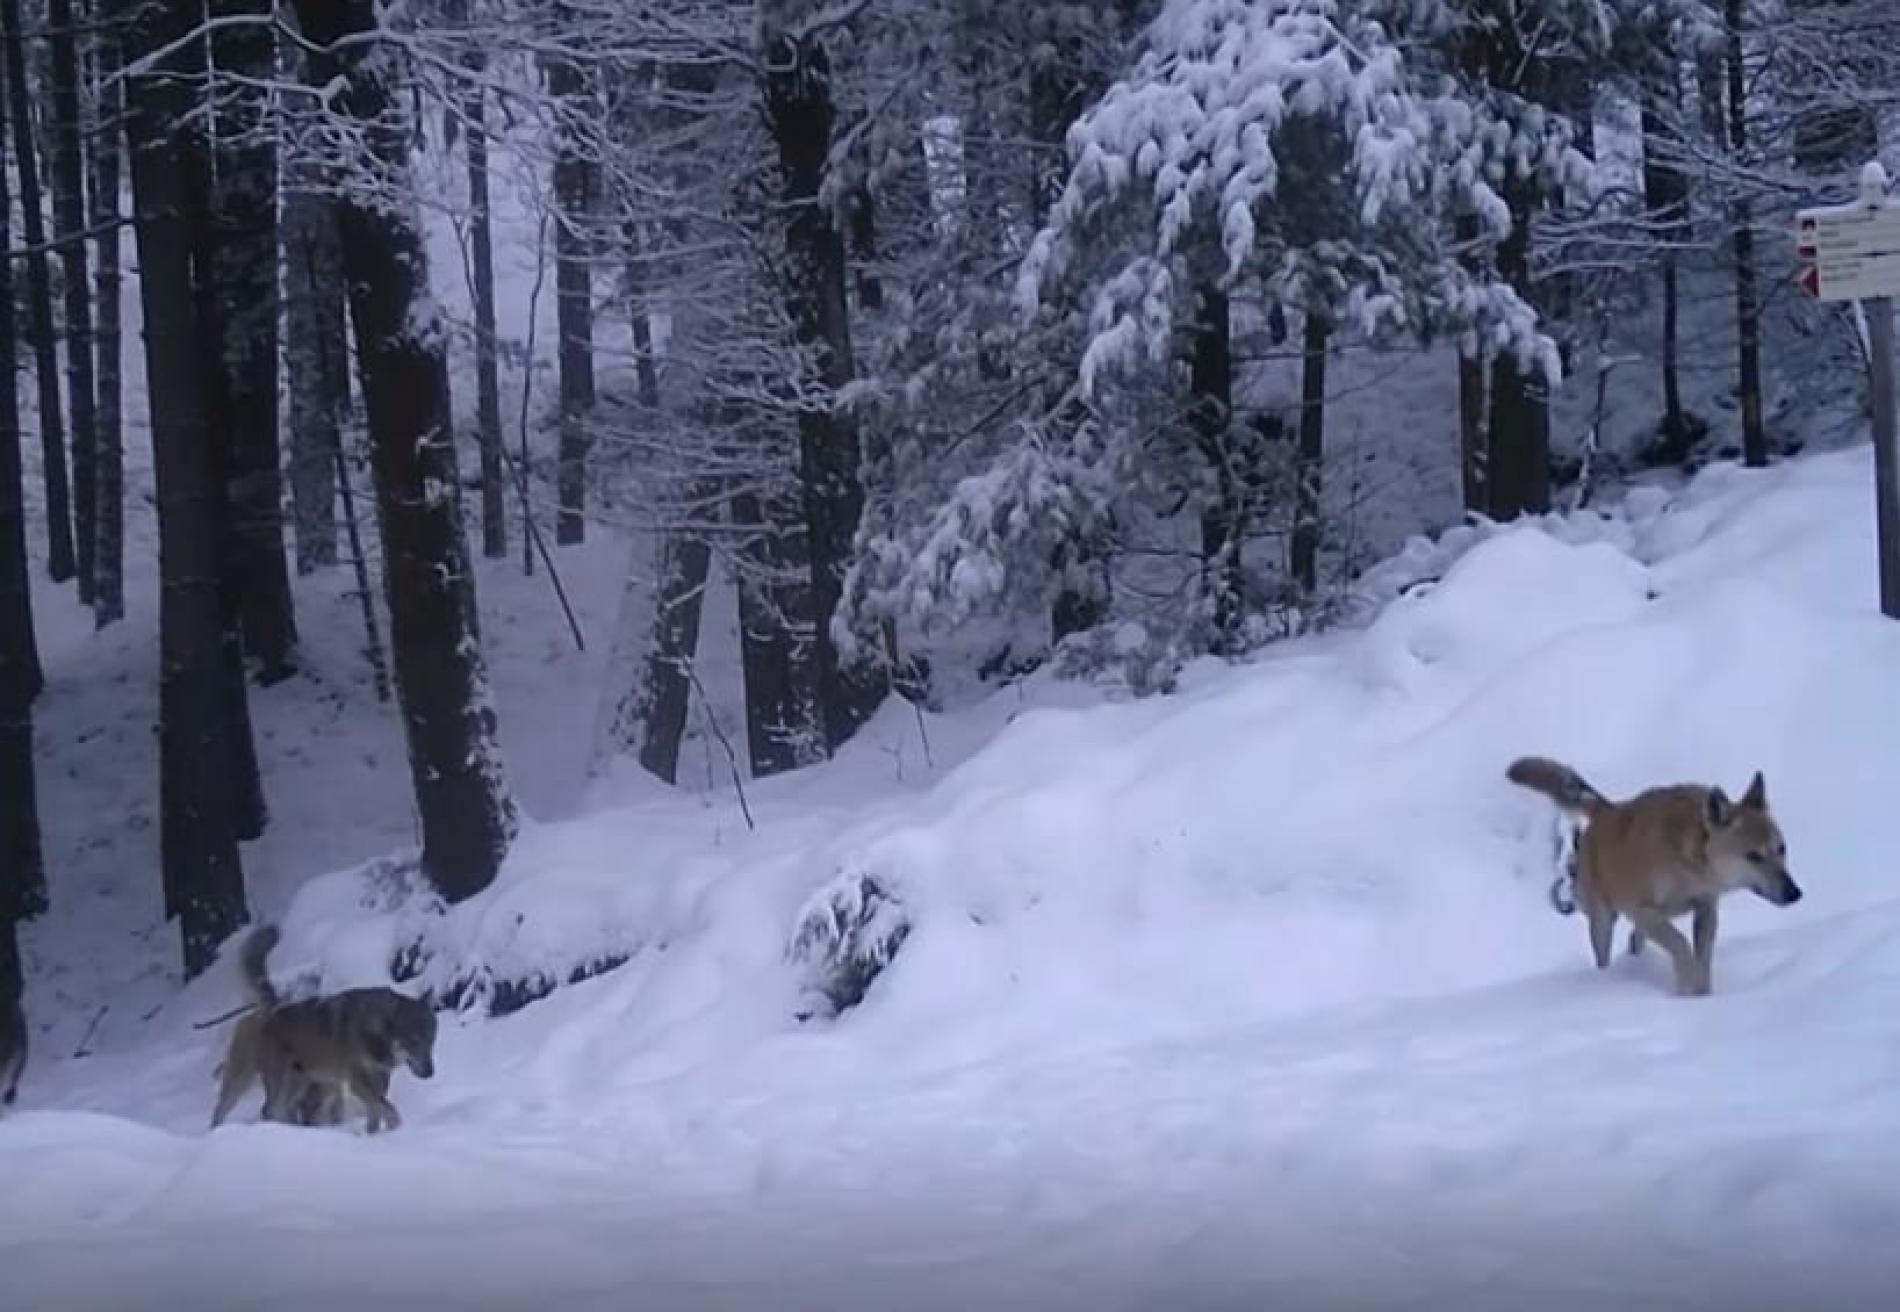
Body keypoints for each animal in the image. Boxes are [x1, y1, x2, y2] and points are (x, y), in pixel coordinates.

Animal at [211, 930, 437, 1131]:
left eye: (431, 1039)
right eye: (413, 1040)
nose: (430, 1073)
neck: (373, 1031)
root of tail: (272, 1008)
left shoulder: (379, 1079)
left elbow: (377, 1111)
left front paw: (374, 1136)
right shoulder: (357, 1080)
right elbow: (387, 1109)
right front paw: (396, 1132)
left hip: (303, 1085)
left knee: (277, 1110)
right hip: (256, 1080)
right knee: (246, 1109)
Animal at [1504, 759, 1801, 994]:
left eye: (1782, 849)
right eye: (1754, 856)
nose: (1794, 893)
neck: (1688, 859)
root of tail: (1608, 809)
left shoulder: (1705, 908)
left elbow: (1702, 956)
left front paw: (1702, 993)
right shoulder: (1640, 909)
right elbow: (1681, 945)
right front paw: (1689, 985)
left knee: (1634, 941)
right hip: (1604, 920)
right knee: (1606, 955)